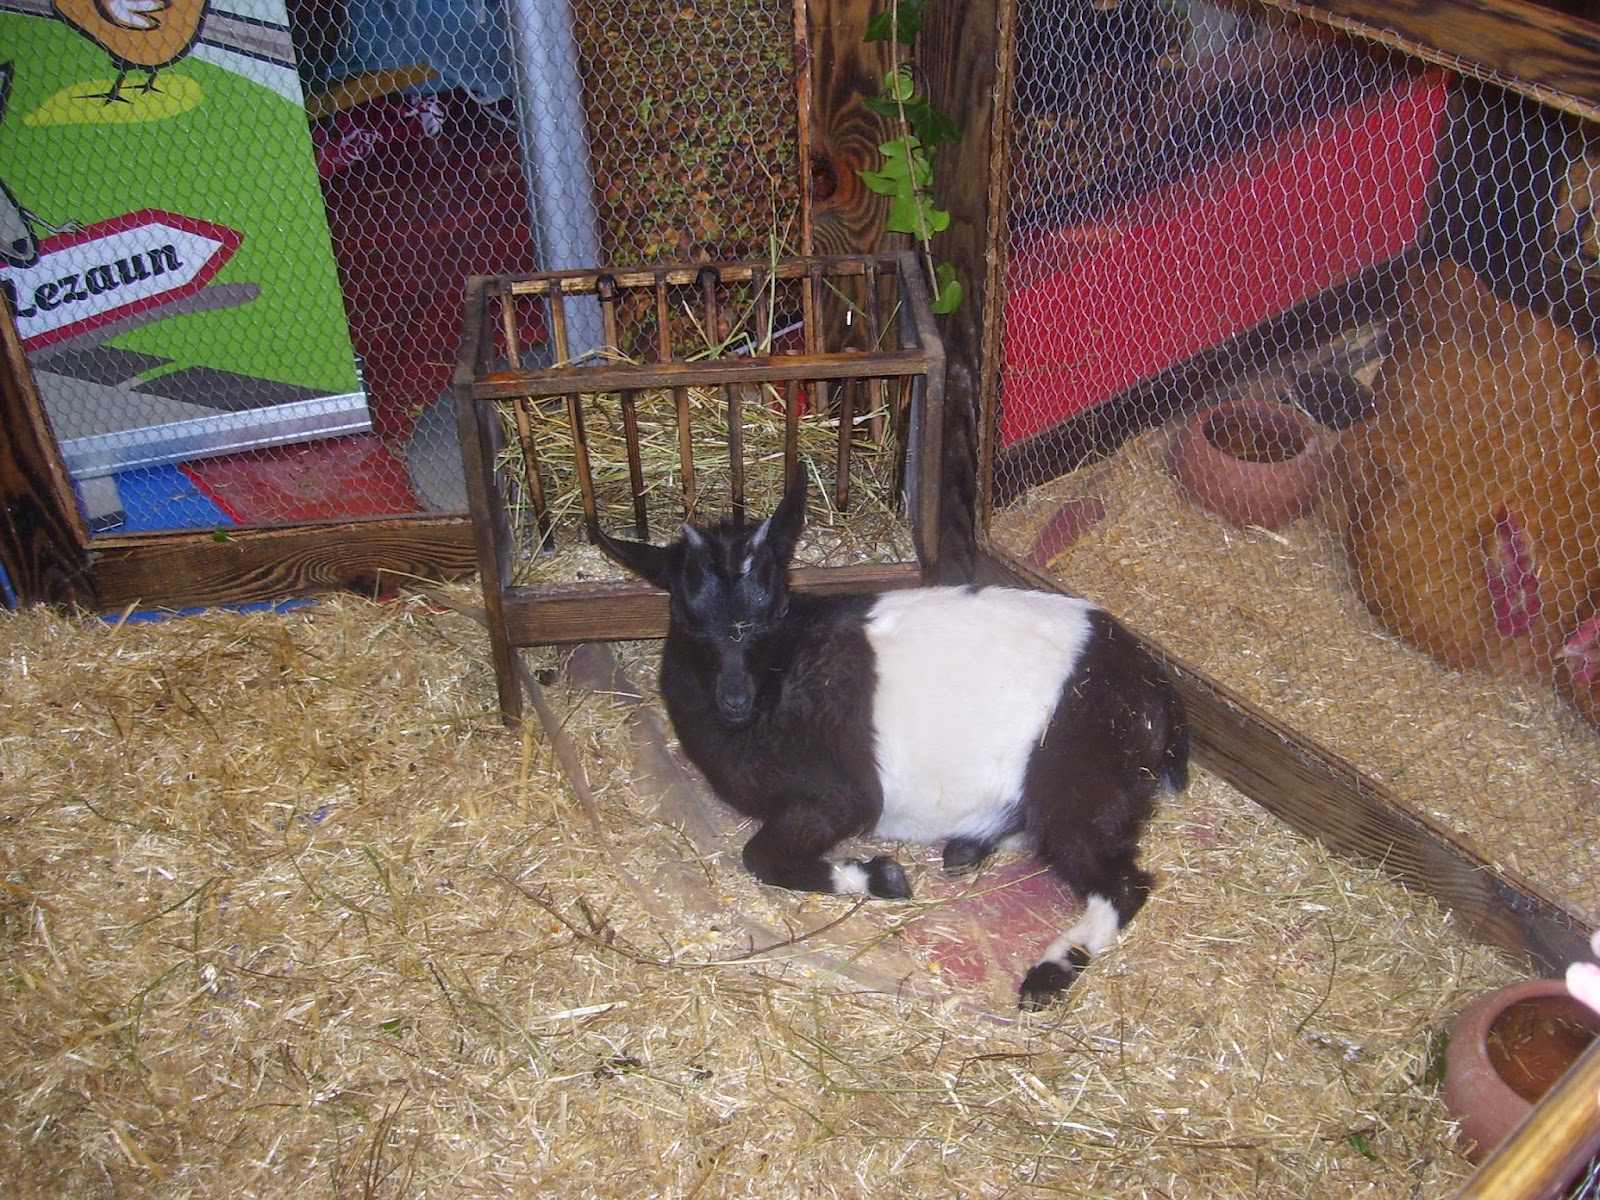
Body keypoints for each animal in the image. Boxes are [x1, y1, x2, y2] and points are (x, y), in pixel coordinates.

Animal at [597, 477, 1189, 1009]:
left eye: (777, 608)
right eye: (686, 614)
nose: (735, 698)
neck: (780, 683)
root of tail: (1156, 687)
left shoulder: (844, 795)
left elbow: (759, 857)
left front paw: (880, 876)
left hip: (1077, 777)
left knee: (1122, 883)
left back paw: (1049, 972)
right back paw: (969, 848)